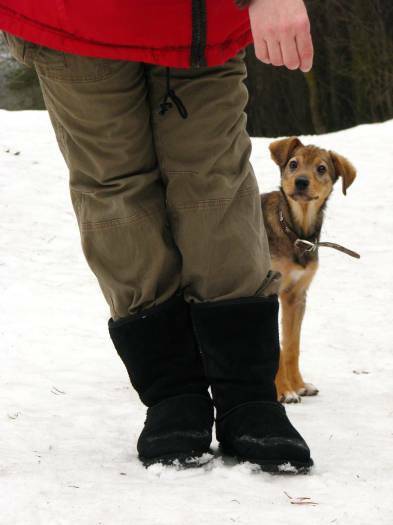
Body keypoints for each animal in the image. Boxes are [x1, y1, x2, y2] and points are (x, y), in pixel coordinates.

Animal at [262, 135, 356, 402]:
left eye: (321, 169)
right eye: (293, 164)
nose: (301, 181)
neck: (294, 232)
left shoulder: (296, 296)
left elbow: (292, 346)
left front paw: (299, 385)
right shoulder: (269, 290)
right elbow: (278, 348)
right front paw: (284, 392)